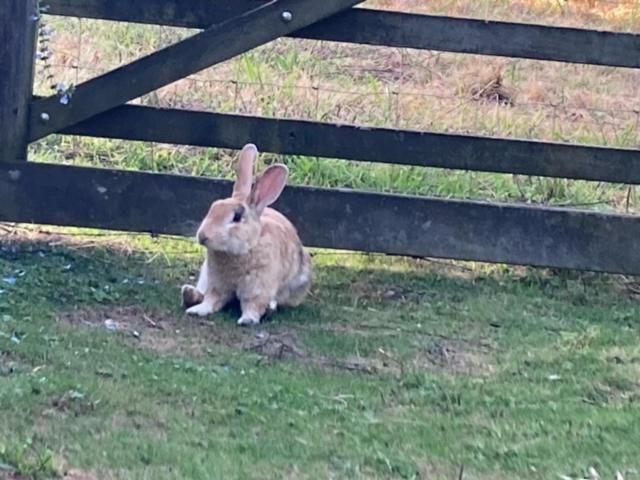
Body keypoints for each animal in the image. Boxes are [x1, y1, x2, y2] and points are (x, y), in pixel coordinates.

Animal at [180, 142, 312, 326]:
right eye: (214, 206)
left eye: (236, 217)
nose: (203, 236)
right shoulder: (217, 282)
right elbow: (211, 300)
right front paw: (196, 310)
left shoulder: (258, 287)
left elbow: (253, 305)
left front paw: (247, 320)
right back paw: (189, 295)